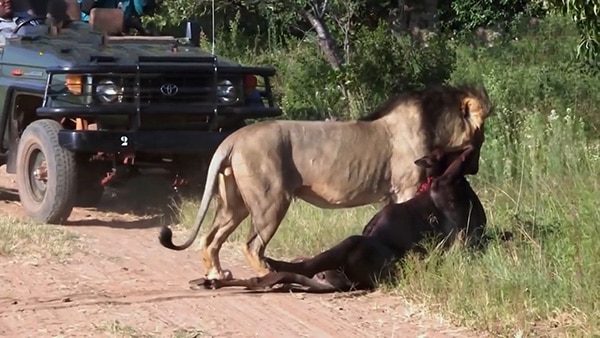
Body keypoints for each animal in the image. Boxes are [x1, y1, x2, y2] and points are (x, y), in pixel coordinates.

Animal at [158, 83, 492, 282]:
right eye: (482, 136)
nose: (476, 168)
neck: (435, 129)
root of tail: (233, 138)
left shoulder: (391, 194)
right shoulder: (407, 187)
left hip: (235, 204)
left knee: (210, 239)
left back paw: (216, 275)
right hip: (270, 201)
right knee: (251, 246)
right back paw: (267, 274)